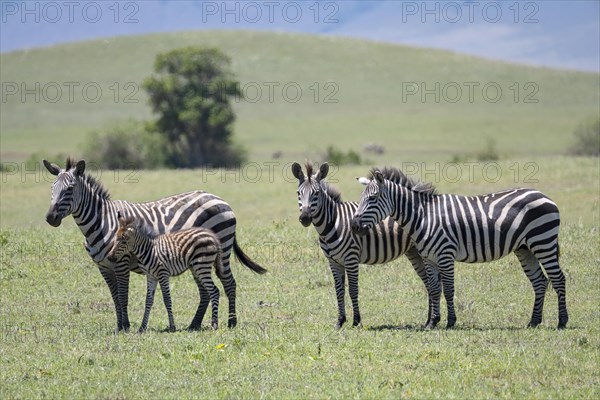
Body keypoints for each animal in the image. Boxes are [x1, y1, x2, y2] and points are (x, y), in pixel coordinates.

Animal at [42, 158, 268, 332]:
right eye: (52, 189)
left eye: (70, 189)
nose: (50, 218)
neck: (102, 222)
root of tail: (218, 198)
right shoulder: (104, 267)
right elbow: (115, 297)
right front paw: (119, 325)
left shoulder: (122, 263)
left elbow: (123, 296)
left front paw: (126, 327)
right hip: (197, 260)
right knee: (205, 290)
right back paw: (194, 324)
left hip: (222, 250)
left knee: (229, 283)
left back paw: (231, 322)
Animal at [290, 162, 432, 328]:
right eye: (298, 193)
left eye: (316, 193)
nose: (305, 218)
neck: (333, 222)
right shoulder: (333, 262)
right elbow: (339, 290)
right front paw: (340, 321)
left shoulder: (351, 259)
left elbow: (352, 290)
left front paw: (356, 321)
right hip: (413, 252)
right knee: (429, 282)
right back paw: (429, 320)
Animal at [350, 167, 568, 330]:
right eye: (362, 198)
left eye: (373, 198)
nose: (354, 226)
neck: (424, 215)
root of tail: (544, 195)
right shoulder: (429, 257)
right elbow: (434, 289)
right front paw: (432, 322)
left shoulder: (445, 254)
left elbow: (448, 289)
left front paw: (451, 322)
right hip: (525, 248)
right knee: (540, 281)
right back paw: (534, 321)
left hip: (543, 241)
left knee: (558, 278)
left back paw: (562, 321)